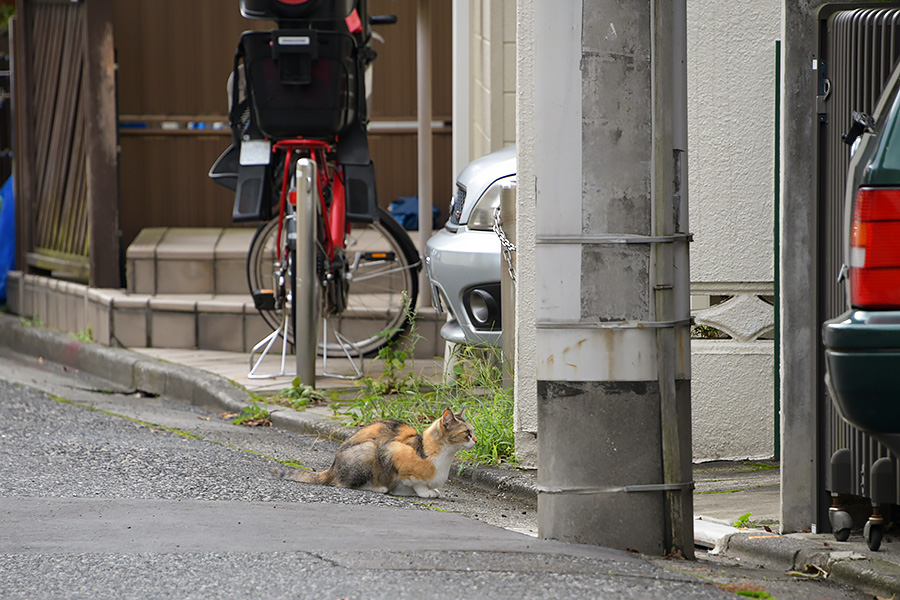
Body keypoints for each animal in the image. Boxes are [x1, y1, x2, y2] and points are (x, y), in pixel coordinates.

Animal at [276, 408, 478, 496]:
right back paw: (379, 488)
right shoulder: (392, 450)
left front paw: (432, 489)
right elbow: (416, 483)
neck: (444, 458)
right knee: (345, 484)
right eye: (467, 433)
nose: (476, 440)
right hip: (369, 450)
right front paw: (425, 492)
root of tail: (332, 467)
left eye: (473, 431)